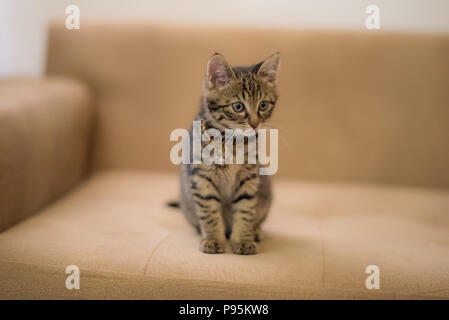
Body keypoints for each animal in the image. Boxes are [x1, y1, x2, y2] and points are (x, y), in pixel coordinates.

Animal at [177, 52, 278, 255]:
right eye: (238, 107)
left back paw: (255, 231)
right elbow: (209, 212)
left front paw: (243, 240)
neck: (231, 142)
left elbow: (245, 210)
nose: (255, 124)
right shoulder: (202, 177)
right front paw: (213, 240)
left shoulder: (249, 177)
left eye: (263, 105)